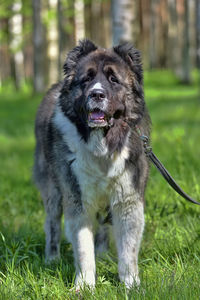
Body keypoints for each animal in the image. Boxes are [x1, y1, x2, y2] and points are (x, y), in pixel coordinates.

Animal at [33, 38, 151, 290]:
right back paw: (52, 258)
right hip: (53, 191)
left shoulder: (127, 198)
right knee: (53, 224)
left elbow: (128, 248)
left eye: (113, 79)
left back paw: (104, 254)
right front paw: (85, 285)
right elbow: (83, 247)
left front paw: (130, 284)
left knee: (104, 226)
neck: (102, 144)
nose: (97, 94)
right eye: (86, 79)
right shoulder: (76, 198)